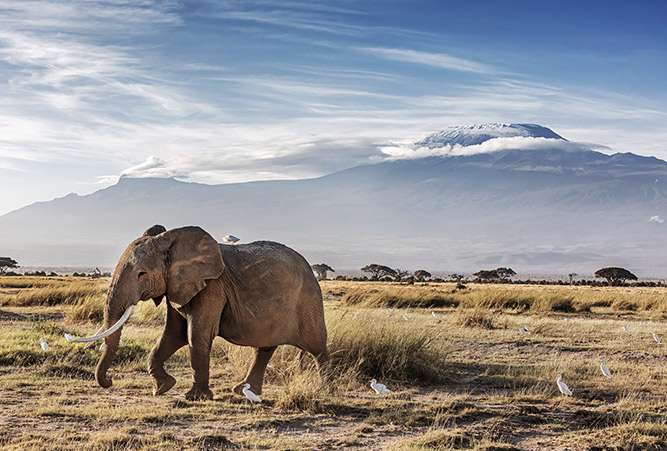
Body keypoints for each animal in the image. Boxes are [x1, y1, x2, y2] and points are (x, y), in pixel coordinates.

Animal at [81, 228, 328, 400]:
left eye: (142, 273)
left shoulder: (212, 286)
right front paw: (162, 388)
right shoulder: (177, 287)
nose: (110, 380)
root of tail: (311, 269)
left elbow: (196, 334)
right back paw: (242, 390)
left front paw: (194, 398)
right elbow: (173, 334)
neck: (170, 239)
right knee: (265, 347)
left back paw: (326, 388)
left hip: (308, 299)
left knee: (317, 347)